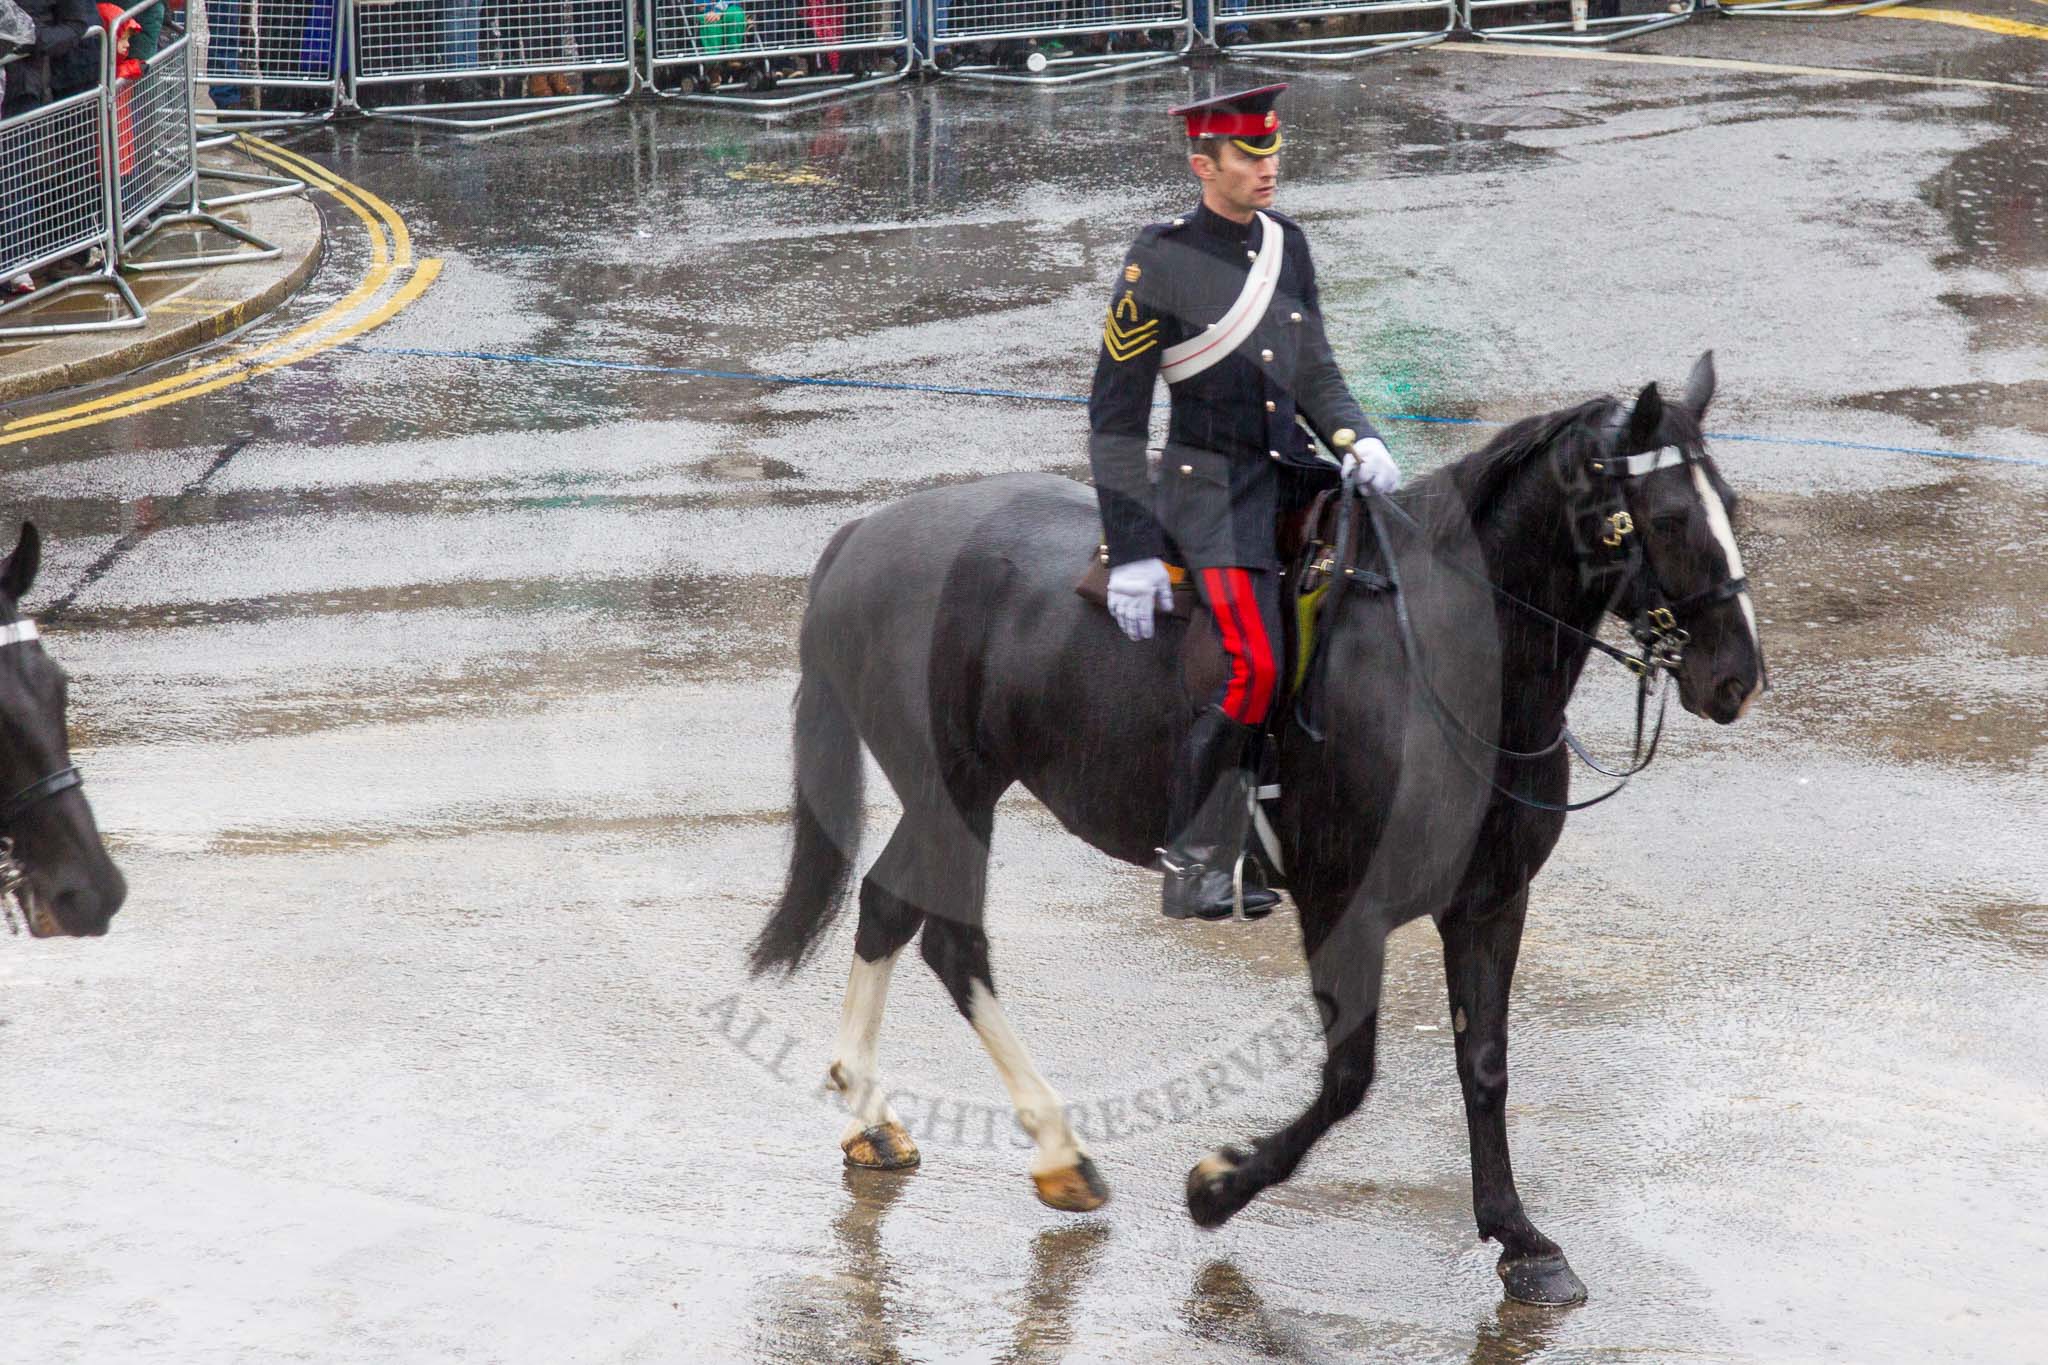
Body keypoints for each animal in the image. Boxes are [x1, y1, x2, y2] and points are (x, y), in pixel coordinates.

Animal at [753, 351, 1761, 1301]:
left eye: (1732, 505)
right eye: (1670, 516)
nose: (1736, 677)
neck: (1448, 660)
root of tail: (866, 532)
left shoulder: (1491, 899)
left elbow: (1484, 1063)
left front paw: (1521, 1239)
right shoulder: (1343, 904)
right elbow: (1349, 1077)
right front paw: (1219, 1185)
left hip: (953, 792)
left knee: (889, 904)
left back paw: (871, 1119)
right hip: (956, 790)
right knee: (951, 938)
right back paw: (1059, 1152)